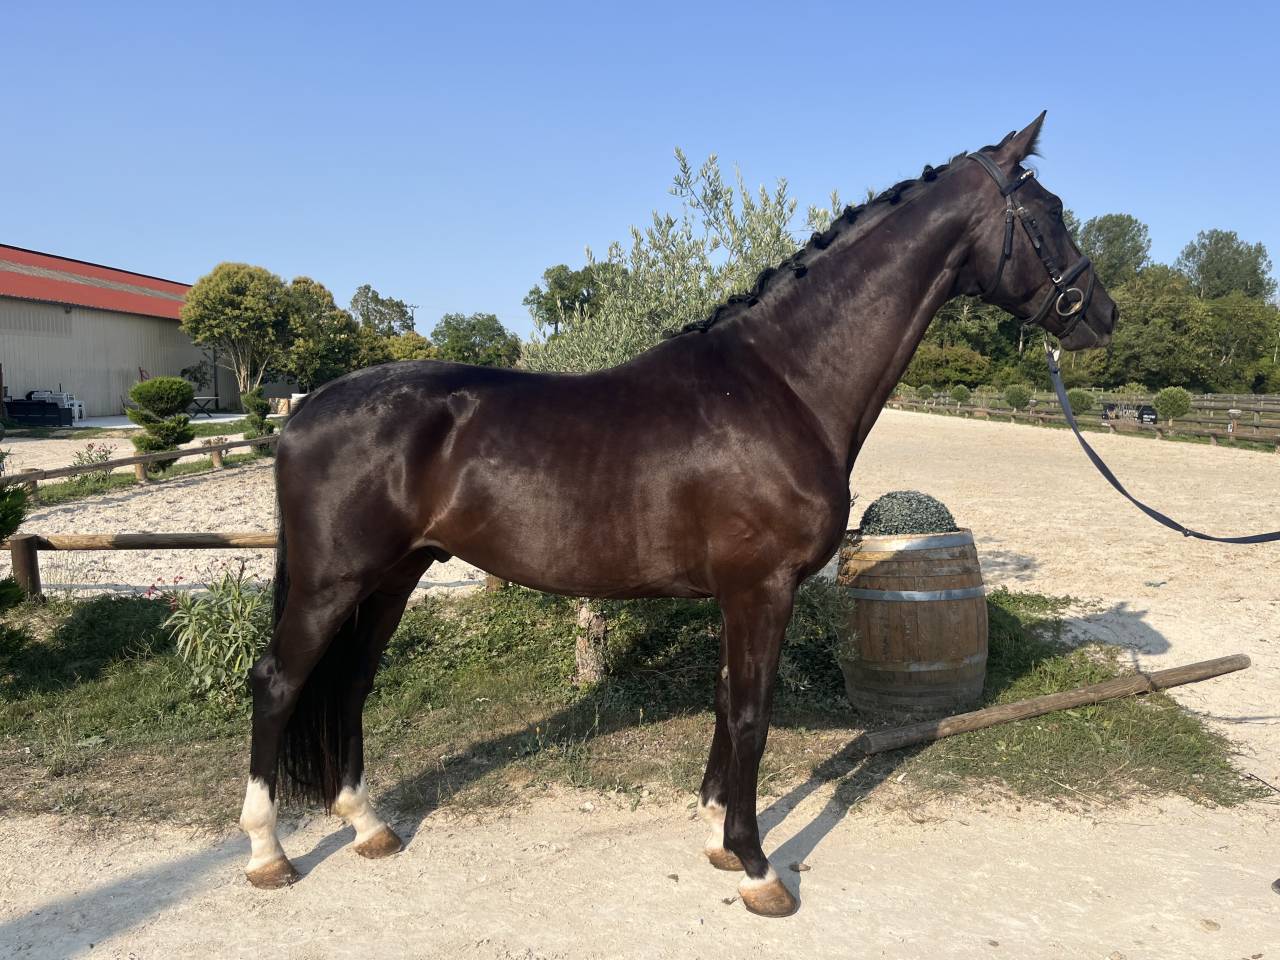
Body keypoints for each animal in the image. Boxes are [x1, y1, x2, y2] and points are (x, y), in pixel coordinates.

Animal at [239, 112, 1117, 917]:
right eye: (1048, 212)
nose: (1100, 313)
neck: (784, 384)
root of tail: (305, 408)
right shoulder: (763, 588)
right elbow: (753, 713)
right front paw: (759, 867)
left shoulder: (740, 594)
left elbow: (728, 703)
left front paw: (717, 837)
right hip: (331, 583)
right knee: (279, 681)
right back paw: (267, 853)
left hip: (393, 577)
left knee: (350, 683)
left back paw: (367, 825)